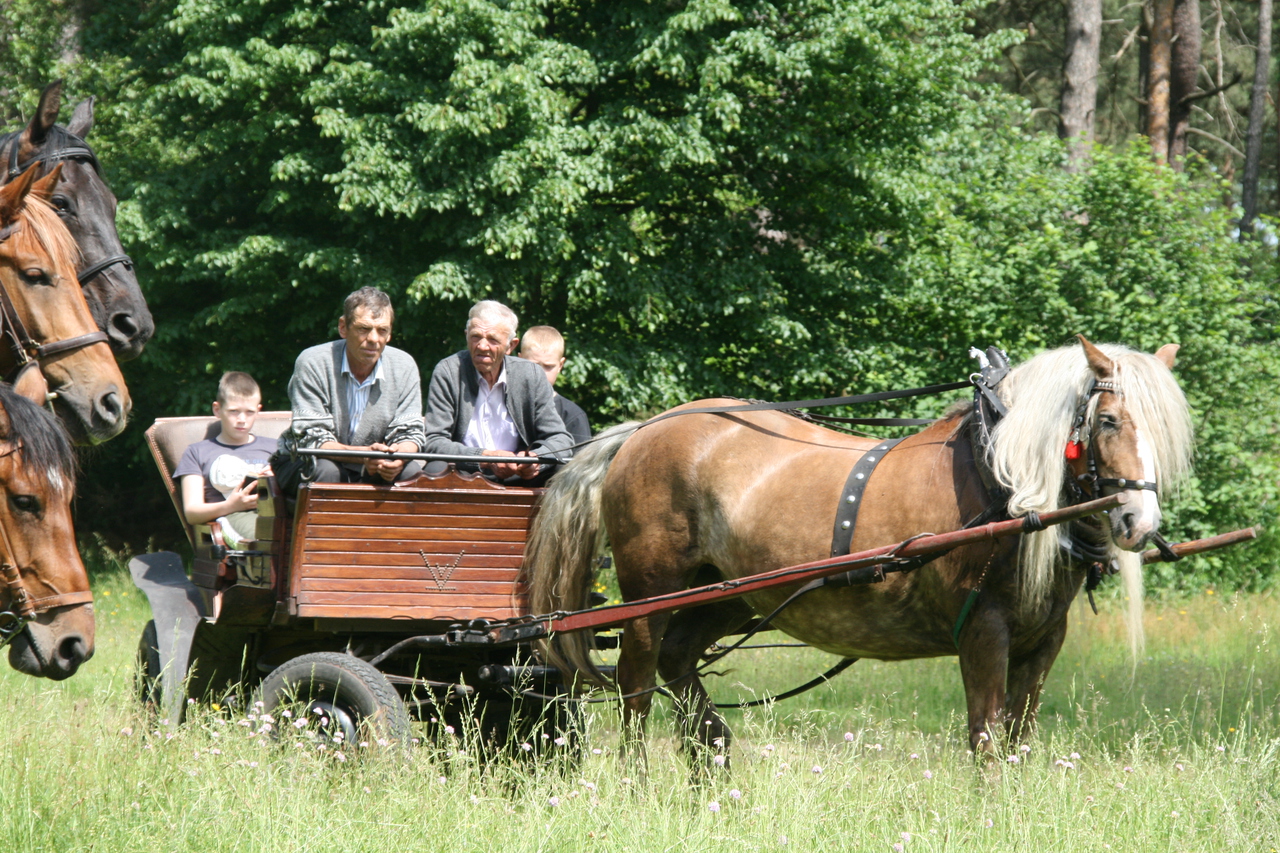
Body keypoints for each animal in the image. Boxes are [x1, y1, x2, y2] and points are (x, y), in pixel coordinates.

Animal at [524, 338, 1192, 758]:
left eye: (1164, 432)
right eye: (1108, 420)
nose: (1137, 521)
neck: (1000, 481)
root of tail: (644, 429)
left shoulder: (1043, 641)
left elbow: (1017, 746)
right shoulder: (982, 631)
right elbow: (985, 743)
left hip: (732, 595)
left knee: (680, 664)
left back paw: (710, 773)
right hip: (648, 595)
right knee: (637, 689)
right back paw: (638, 782)